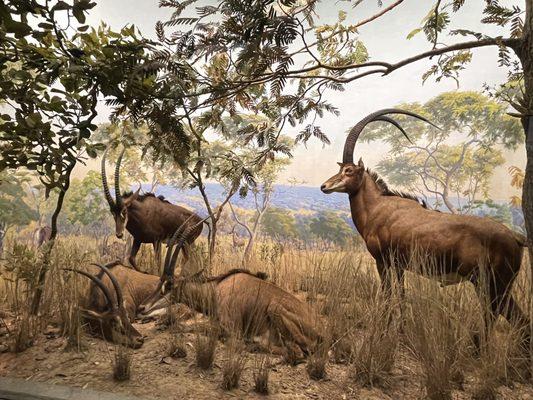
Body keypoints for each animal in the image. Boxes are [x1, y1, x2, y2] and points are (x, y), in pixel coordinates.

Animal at [318, 108, 528, 346]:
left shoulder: (383, 261)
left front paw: (382, 334)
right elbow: (401, 295)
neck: (378, 207)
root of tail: (516, 237)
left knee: (496, 318)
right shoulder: (399, 265)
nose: (324, 186)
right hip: (499, 286)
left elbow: (388, 296)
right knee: (519, 322)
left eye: (349, 170)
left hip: (491, 284)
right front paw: (400, 332)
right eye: (341, 168)